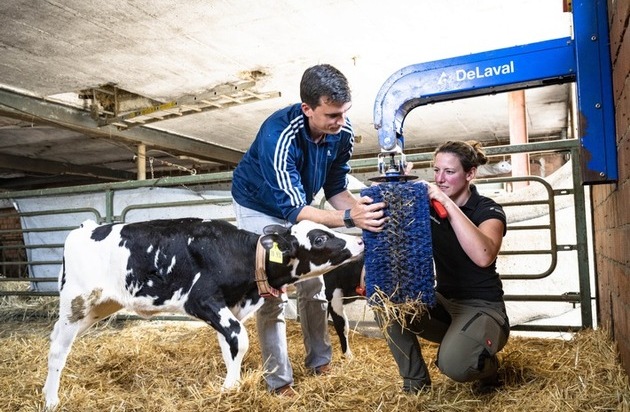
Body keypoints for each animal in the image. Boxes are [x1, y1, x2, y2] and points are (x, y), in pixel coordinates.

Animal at [42, 219, 362, 408]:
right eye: (319, 239)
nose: (359, 241)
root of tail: (85, 228)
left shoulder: (230, 307)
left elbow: (229, 344)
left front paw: (231, 385)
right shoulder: (201, 300)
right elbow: (240, 339)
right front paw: (230, 388)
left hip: (98, 307)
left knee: (57, 339)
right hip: (77, 302)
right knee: (58, 350)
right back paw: (51, 400)